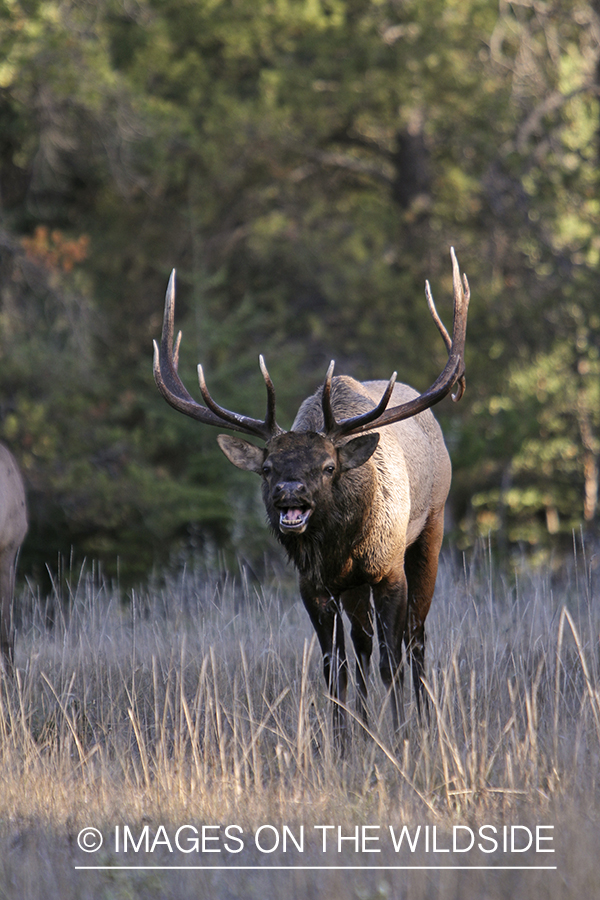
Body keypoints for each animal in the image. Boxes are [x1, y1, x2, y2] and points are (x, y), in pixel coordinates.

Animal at [154, 250, 468, 736]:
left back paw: (423, 721)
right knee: (361, 645)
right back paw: (365, 725)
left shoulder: (388, 568)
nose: (289, 492)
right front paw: (343, 741)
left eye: (328, 466)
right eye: (267, 468)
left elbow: (392, 660)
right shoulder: (313, 585)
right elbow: (334, 668)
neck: (344, 546)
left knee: (415, 639)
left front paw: (401, 738)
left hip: (430, 530)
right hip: (353, 589)